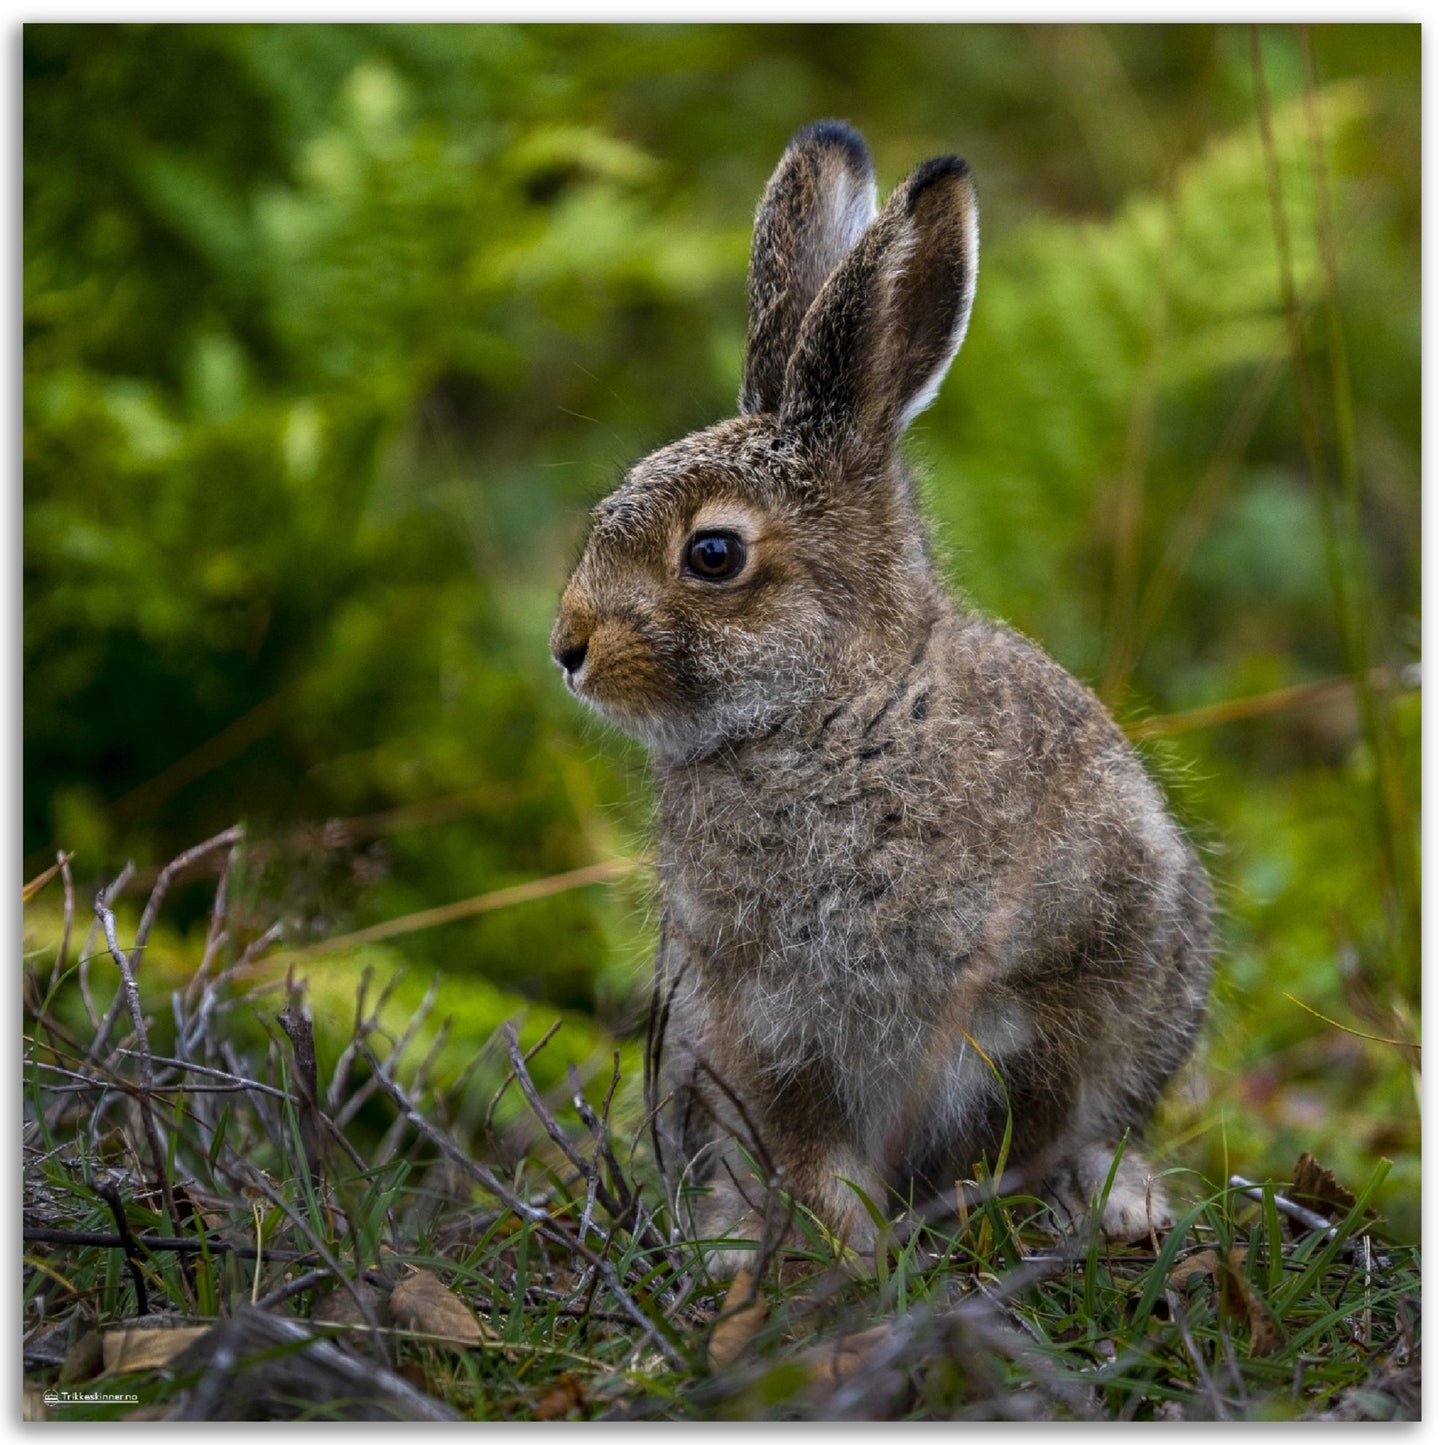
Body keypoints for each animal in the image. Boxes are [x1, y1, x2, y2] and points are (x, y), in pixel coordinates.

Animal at [550, 120, 1213, 1273]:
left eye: (712, 554)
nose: (567, 646)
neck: (835, 709)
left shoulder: (1053, 989)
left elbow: (1032, 1124)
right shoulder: (763, 1028)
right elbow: (809, 1154)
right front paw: (833, 1257)